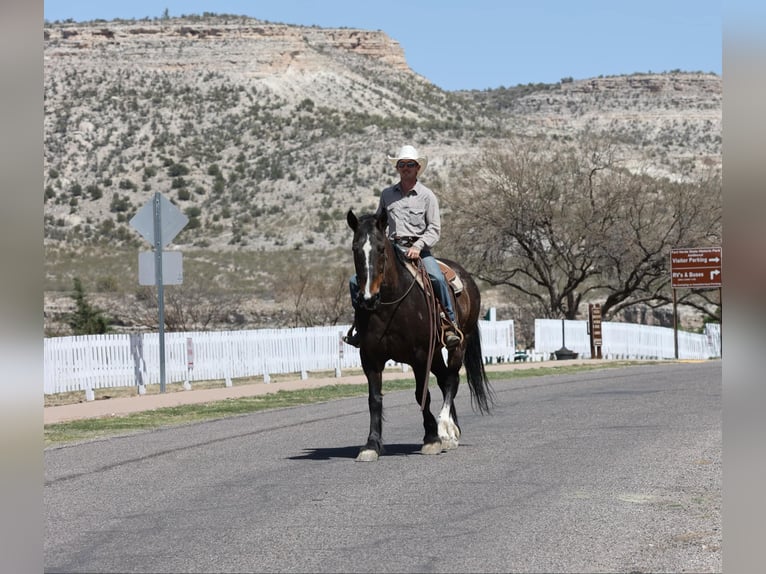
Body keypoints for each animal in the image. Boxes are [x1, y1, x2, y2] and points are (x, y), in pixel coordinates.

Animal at [346, 209, 494, 462]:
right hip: (435, 354)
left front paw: (432, 438)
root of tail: (468, 279)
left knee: (451, 380)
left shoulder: (419, 355)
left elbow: (421, 394)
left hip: (457, 345)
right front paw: (371, 445)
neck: (389, 306)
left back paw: (445, 429)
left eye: (381, 248)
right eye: (356, 248)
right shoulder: (370, 358)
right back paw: (451, 432)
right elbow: (374, 399)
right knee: (444, 379)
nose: (368, 298)